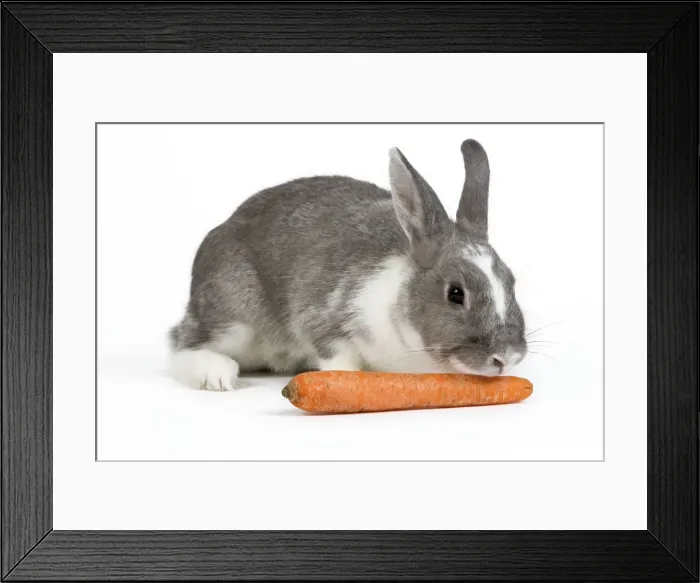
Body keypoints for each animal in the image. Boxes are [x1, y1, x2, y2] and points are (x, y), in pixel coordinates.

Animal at [168, 139, 527, 391]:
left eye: (512, 282)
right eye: (455, 293)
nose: (506, 357)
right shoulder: (322, 319)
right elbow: (339, 358)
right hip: (234, 314)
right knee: (182, 346)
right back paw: (216, 375)